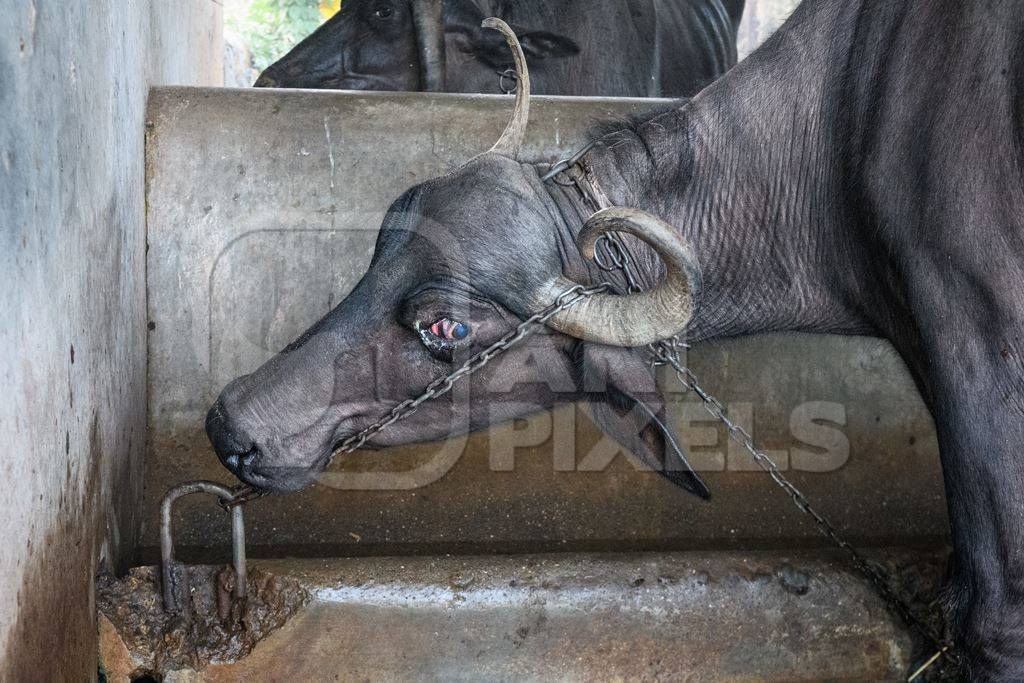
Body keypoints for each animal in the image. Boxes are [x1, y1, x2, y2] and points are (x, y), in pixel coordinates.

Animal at [211, 1, 1024, 679]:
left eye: (449, 326)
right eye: (380, 253)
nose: (230, 423)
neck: (833, 143)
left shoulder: (981, 339)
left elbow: (990, 620)